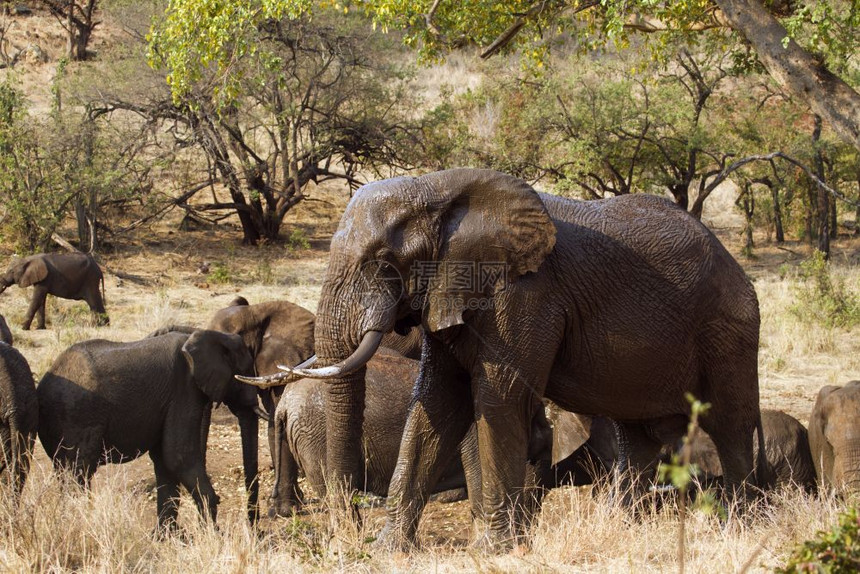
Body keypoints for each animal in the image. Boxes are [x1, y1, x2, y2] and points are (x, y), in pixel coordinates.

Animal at [37, 328, 256, 532]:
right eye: (244, 373)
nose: (255, 530)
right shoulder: (184, 389)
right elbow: (178, 456)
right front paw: (212, 534)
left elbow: (164, 461)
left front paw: (167, 537)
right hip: (77, 416)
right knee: (78, 472)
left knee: (66, 472)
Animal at [245, 169, 764, 552]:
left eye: (384, 259)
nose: (350, 536)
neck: (438, 189)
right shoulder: (451, 294)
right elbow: (437, 404)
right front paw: (389, 550)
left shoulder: (524, 294)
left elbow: (497, 401)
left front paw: (495, 550)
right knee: (635, 436)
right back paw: (625, 530)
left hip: (729, 331)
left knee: (731, 424)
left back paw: (741, 525)